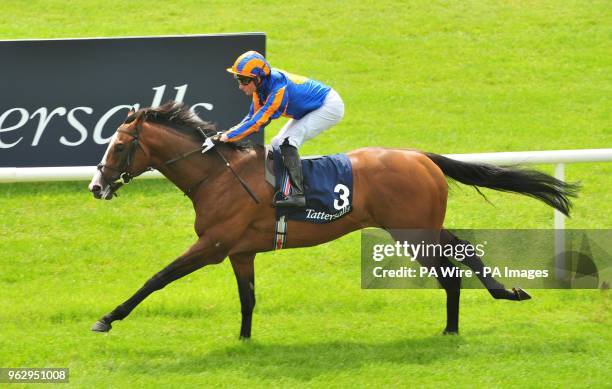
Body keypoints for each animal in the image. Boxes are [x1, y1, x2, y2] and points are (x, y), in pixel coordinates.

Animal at [87, 101, 580, 338]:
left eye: (118, 146)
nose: (96, 185)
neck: (218, 175)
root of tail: (421, 156)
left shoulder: (212, 245)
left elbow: (157, 278)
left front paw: (107, 318)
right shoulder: (240, 251)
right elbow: (248, 299)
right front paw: (244, 341)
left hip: (410, 231)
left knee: (451, 270)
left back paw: (456, 325)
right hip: (420, 225)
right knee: (461, 249)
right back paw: (499, 296)